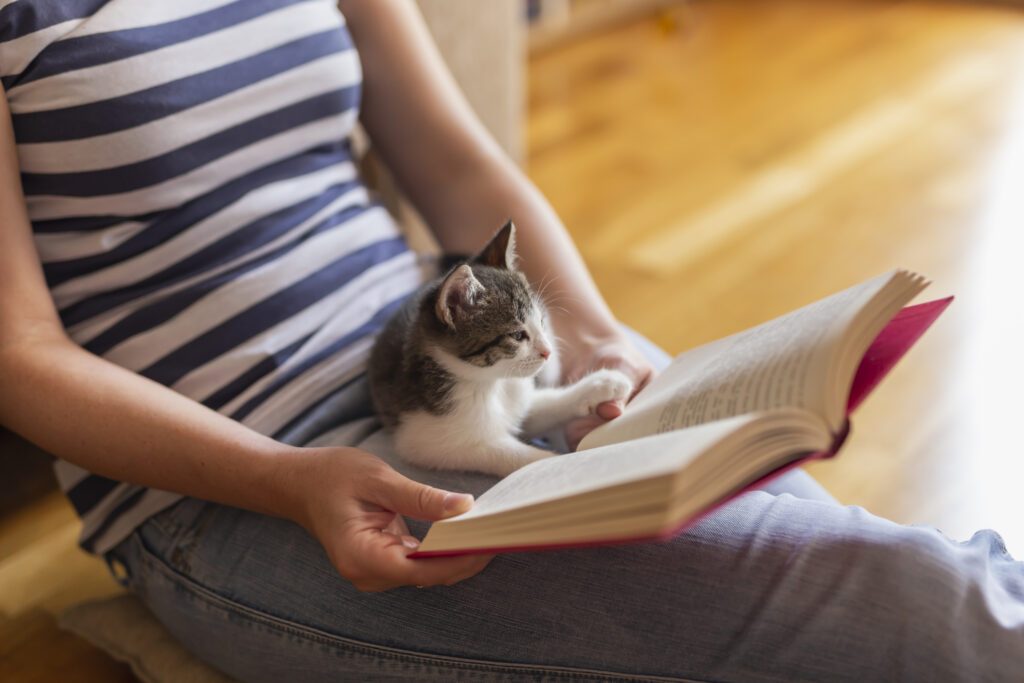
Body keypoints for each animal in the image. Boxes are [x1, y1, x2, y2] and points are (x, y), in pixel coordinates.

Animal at [368, 222, 630, 479]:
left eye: (541, 321)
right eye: (517, 335)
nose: (547, 352)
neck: (490, 382)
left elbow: (542, 405)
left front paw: (603, 384)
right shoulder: (427, 440)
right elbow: (509, 455)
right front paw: (557, 463)